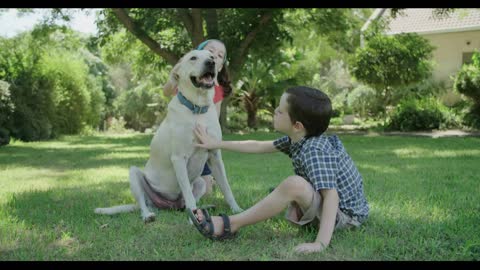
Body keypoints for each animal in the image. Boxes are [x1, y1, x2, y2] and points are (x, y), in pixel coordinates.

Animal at [94, 49, 244, 223]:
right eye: (193, 58)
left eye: (212, 57)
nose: (210, 63)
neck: (197, 109)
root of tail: (167, 205)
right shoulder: (179, 158)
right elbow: (188, 192)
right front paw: (194, 220)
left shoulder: (215, 155)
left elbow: (226, 187)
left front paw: (236, 209)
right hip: (134, 175)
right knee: (144, 204)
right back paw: (148, 215)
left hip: (200, 182)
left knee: (187, 201)